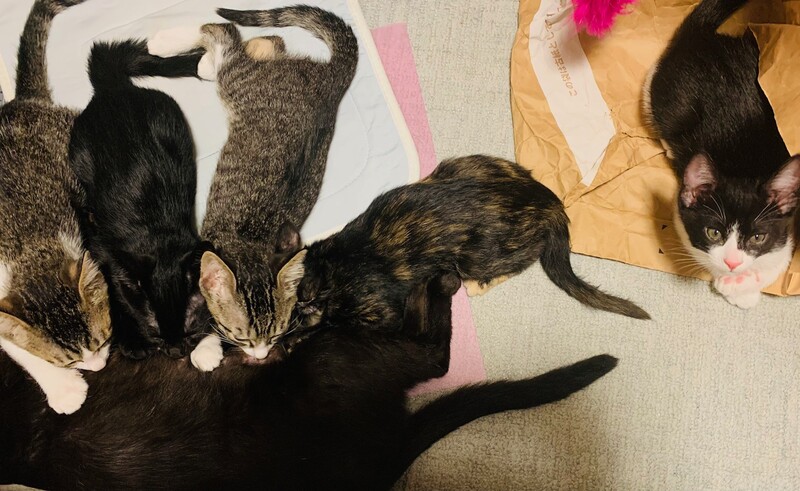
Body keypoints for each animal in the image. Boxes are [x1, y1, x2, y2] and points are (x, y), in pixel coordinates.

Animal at [0, 0, 111, 415]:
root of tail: (20, 101)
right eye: (69, 359)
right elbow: (15, 343)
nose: (98, 366)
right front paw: (63, 388)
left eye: (101, 340)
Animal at [69, 39, 213, 360]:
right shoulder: (103, 252)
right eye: (156, 334)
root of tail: (115, 88)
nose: (175, 352)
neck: (157, 238)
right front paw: (132, 341)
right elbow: (113, 291)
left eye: (188, 331)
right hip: (80, 156)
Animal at [147, 5, 359, 370]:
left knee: (262, 41)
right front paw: (207, 346)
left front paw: (207, 347)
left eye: (276, 335)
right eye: (242, 336)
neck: (249, 245)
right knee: (225, 33)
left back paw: (216, 57)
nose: (260, 355)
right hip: (238, 83)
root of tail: (333, 83)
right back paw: (168, 42)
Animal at [292, 154, 650, 334]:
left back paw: (482, 283)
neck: (336, 269)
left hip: (478, 256)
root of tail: (552, 204)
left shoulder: (380, 311)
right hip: (460, 165)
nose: (300, 309)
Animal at [642, 0, 800, 308]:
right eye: (714, 232)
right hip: (667, 97)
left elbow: (780, 255)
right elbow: (695, 244)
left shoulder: (787, 221)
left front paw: (747, 282)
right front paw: (733, 284)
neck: (744, 167)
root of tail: (702, 37)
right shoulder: (682, 210)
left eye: (758, 237)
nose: (733, 263)